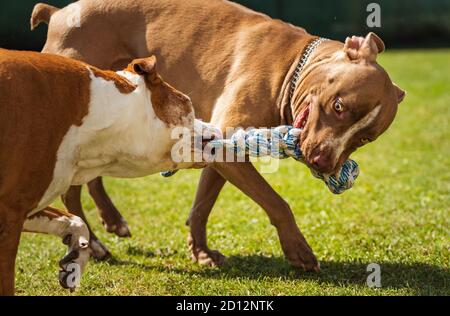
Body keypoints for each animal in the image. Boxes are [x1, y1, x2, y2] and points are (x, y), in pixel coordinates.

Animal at [0, 48, 219, 294]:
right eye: (188, 104)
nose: (218, 128)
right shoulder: (9, 215)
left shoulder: (24, 204)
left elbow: (75, 221)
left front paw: (76, 257)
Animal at [30, 0, 404, 272]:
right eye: (339, 106)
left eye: (364, 139)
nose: (324, 164)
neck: (293, 64)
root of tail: (59, 12)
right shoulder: (229, 145)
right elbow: (277, 203)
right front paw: (298, 250)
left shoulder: (220, 147)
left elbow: (202, 205)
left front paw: (201, 251)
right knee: (71, 192)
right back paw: (92, 243)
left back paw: (112, 220)